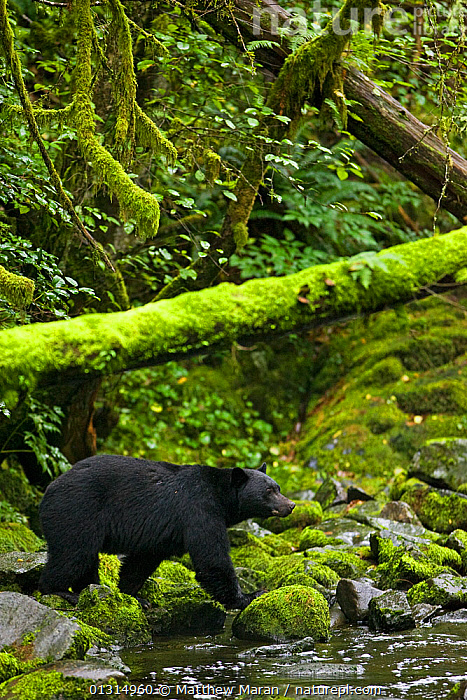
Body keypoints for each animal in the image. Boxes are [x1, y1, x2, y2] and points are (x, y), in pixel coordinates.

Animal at [40, 456, 296, 608]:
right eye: (269, 491)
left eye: (278, 487)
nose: (291, 505)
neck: (221, 495)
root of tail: (49, 489)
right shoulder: (199, 509)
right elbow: (212, 557)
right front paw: (248, 596)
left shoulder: (158, 534)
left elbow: (142, 560)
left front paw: (133, 595)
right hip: (77, 512)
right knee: (73, 554)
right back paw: (60, 590)